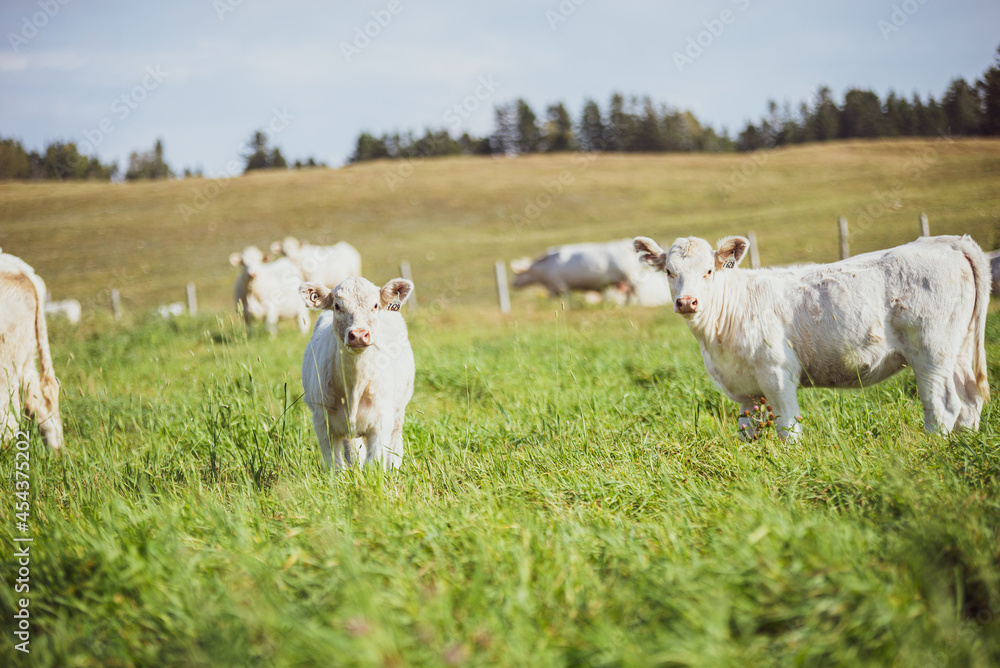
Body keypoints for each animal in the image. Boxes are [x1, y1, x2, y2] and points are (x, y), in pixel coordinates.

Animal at [300, 276, 415, 470]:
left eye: (375, 305)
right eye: (337, 306)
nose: (359, 334)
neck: (355, 385)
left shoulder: (381, 423)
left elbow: (374, 464)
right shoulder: (323, 423)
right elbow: (335, 466)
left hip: (399, 411)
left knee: (394, 445)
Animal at [511, 238, 671, 306]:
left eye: (517, 274)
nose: (512, 284)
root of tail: (625, 244)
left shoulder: (561, 286)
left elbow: (566, 299)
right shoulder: (554, 289)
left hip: (630, 276)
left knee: (634, 291)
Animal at [633, 234, 990, 441]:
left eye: (709, 271)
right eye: (669, 272)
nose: (687, 302)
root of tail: (947, 241)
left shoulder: (777, 374)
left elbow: (788, 429)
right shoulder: (746, 391)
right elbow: (747, 433)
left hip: (931, 351)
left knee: (943, 407)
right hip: (957, 351)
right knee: (970, 402)